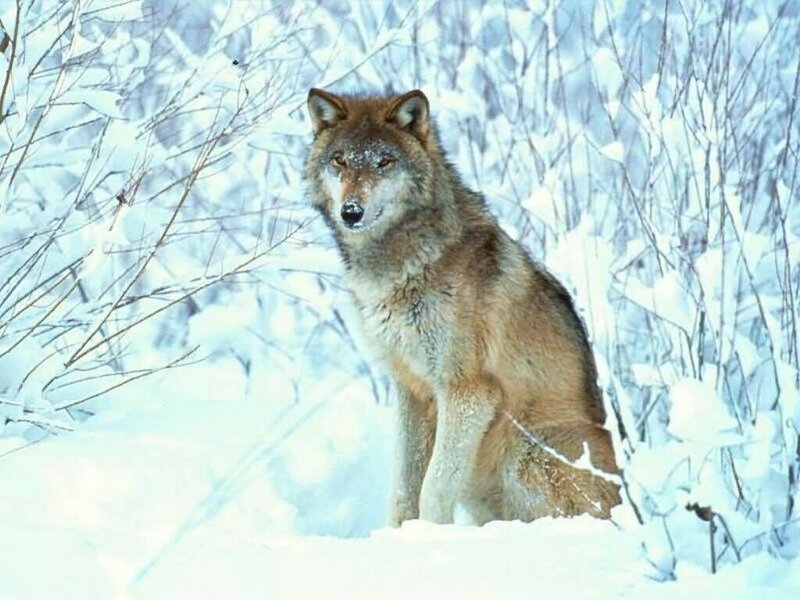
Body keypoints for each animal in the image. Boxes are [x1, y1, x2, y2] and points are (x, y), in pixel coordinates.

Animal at [304, 88, 622, 525]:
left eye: (384, 162)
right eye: (341, 161)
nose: (351, 212)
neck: (405, 263)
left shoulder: (468, 391)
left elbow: (433, 488)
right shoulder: (411, 390)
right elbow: (404, 489)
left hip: (525, 451)